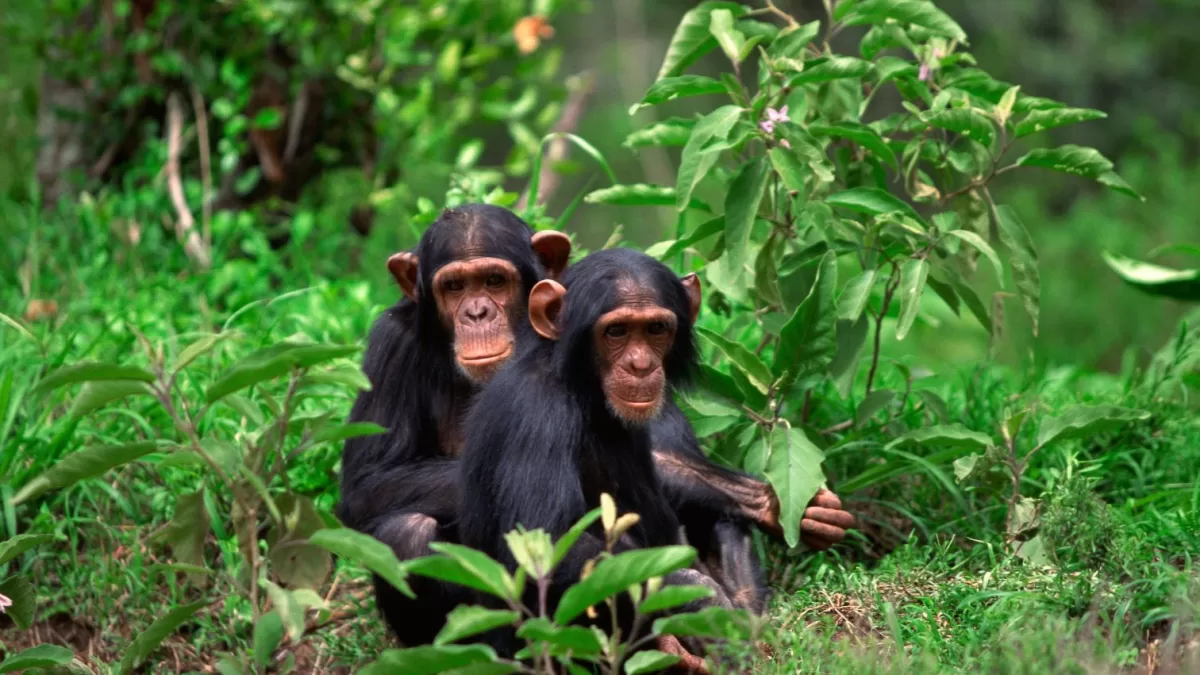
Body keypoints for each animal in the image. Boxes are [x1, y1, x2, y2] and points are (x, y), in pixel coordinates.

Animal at [456, 247, 739, 662]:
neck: (582, 387)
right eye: (616, 331)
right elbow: (545, 545)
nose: (641, 365)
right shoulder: (537, 415)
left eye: (656, 329)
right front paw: (697, 597)